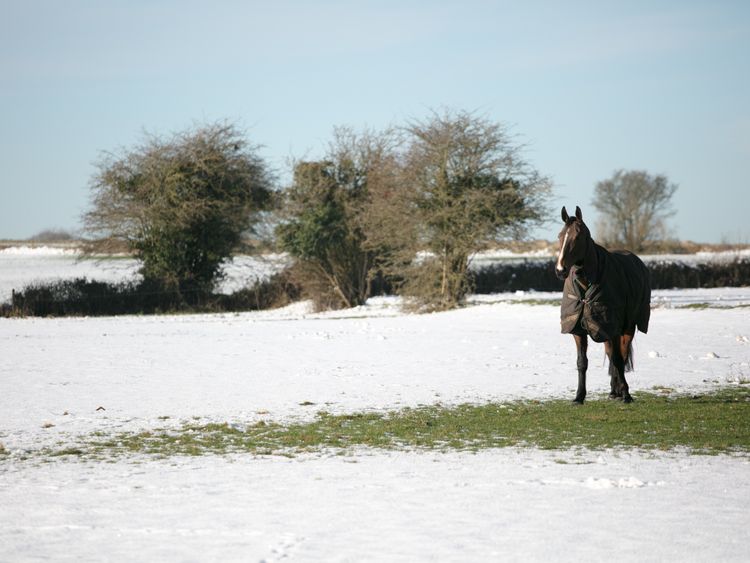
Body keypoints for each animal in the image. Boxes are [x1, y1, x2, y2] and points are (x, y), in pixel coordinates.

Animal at [556, 207, 656, 406]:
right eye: (560, 236)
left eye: (577, 237)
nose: (560, 270)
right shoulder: (579, 329)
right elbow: (582, 362)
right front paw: (579, 396)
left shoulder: (613, 327)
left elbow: (618, 359)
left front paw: (626, 394)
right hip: (604, 330)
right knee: (611, 354)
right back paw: (613, 391)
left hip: (627, 327)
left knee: (621, 355)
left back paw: (619, 391)